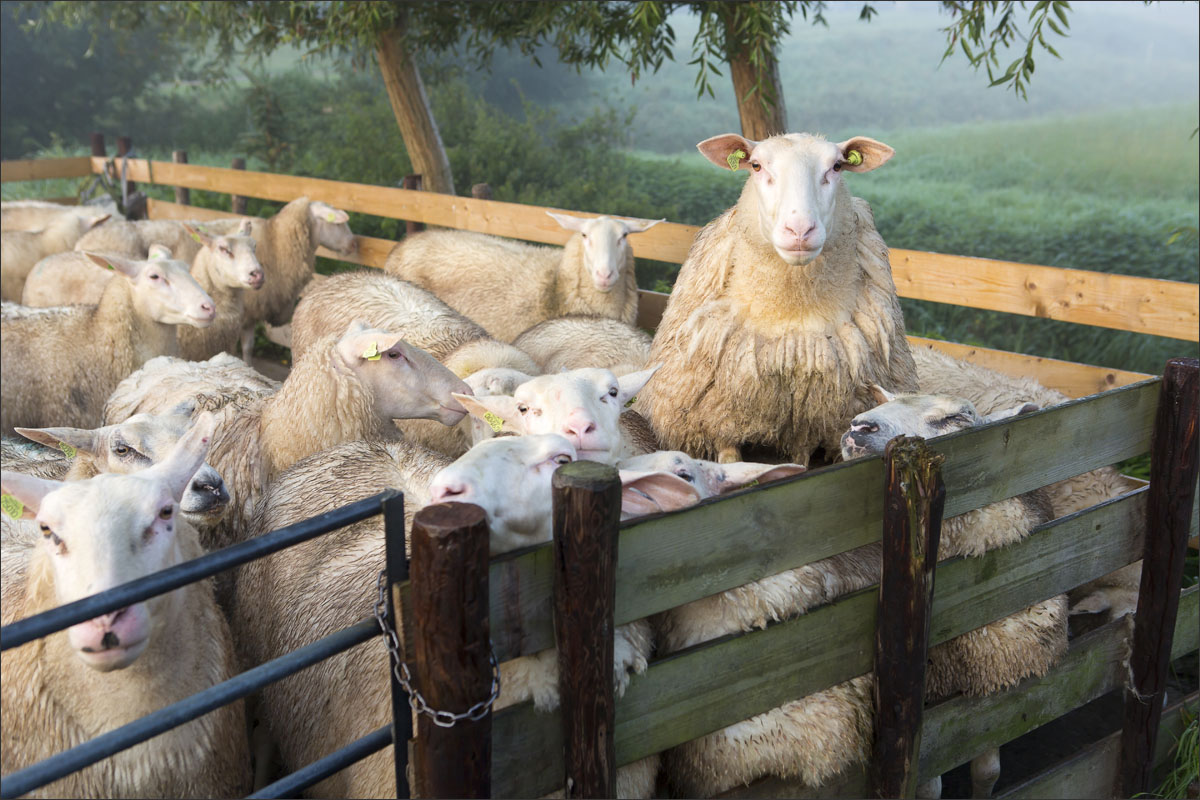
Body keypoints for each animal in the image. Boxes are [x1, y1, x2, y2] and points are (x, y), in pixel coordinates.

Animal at [637, 132, 917, 467]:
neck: (791, 314)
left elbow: (800, 463)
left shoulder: (810, 424)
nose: (799, 230)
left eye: (837, 166)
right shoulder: (720, 422)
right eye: (756, 166)